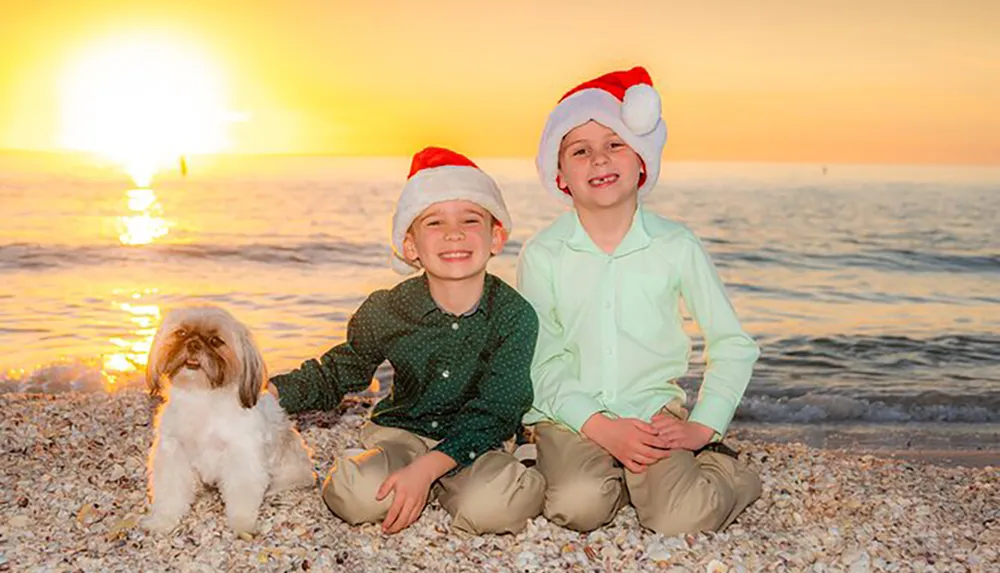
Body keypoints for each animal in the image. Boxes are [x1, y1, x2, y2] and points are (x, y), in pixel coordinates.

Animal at [143, 306, 314, 536]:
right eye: (181, 333)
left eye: (215, 341)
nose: (193, 344)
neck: (201, 396)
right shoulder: (173, 452)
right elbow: (171, 492)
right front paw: (163, 520)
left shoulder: (242, 456)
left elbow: (242, 495)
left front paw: (243, 525)